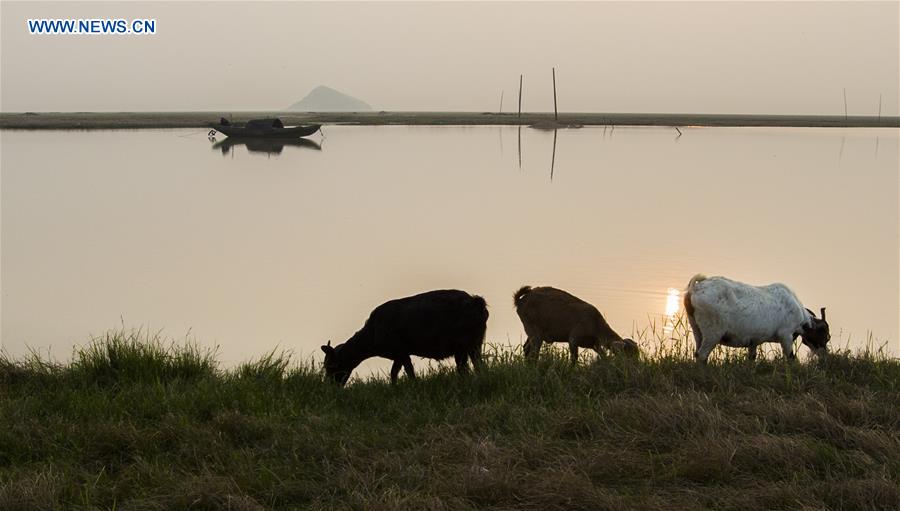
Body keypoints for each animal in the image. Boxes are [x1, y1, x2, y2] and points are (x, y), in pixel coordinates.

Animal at [320, 290, 488, 386]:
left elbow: (405, 371)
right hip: (475, 344)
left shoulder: (400, 351)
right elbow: (397, 372)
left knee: (464, 368)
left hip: (462, 346)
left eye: (331, 366)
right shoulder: (400, 354)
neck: (372, 335)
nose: (331, 387)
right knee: (478, 364)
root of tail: (476, 302)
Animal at [512, 286, 640, 362]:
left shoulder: (595, 344)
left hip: (532, 333)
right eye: (628, 355)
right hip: (534, 332)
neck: (596, 326)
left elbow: (603, 355)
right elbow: (574, 359)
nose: (636, 366)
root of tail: (520, 300)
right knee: (533, 353)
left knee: (526, 348)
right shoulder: (573, 339)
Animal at [684, 276, 832, 364]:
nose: (826, 357)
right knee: (702, 354)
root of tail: (696, 288)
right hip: (712, 332)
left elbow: (752, 357)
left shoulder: (753, 341)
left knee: (697, 352)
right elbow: (791, 358)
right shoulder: (786, 335)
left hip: (697, 329)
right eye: (826, 335)